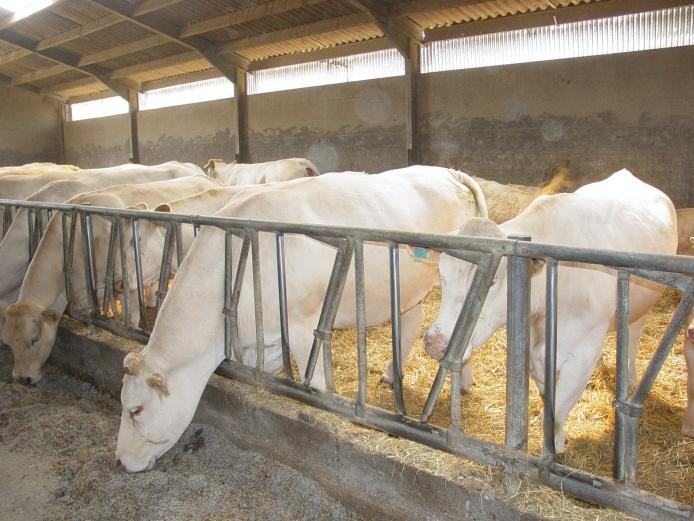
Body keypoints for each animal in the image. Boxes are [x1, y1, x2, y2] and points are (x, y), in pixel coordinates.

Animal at [115, 167, 490, 472]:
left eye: (136, 410)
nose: (119, 460)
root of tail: (450, 172)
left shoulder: (303, 324)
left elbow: (318, 383)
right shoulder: (262, 337)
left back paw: (463, 379)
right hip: (406, 291)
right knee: (412, 324)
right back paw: (391, 373)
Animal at [424, 171, 680, 450]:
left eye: (491, 281)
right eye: (442, 275)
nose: (434, 342)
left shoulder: (582, 355)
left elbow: (559, 408)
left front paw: (555, 445)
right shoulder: (535, 351)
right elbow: (548, 397)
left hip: (643, 303)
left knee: (633, 336)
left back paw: (631, 376)